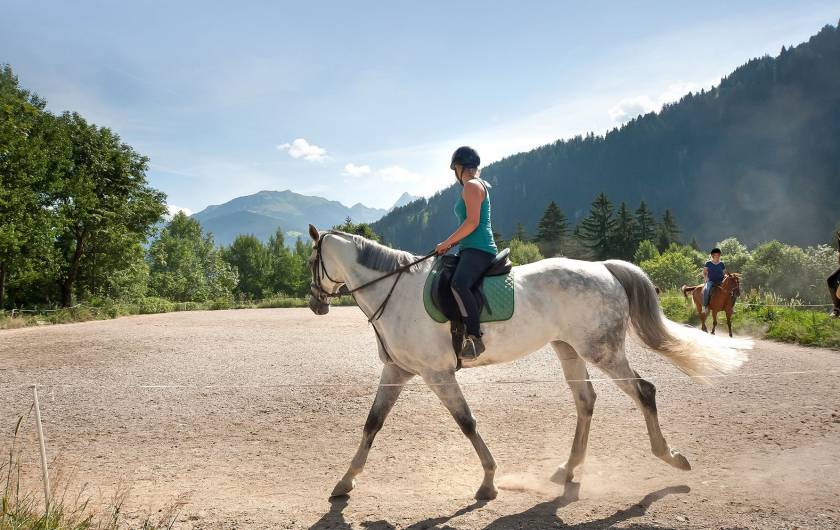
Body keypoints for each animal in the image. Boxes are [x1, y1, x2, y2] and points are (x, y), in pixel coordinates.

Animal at [306, 226, 748, 500]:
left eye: (311, 261)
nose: (315, 304)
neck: (395, 292)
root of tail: (603, 268)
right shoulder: (397, 371)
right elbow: (372, 424)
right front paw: (345, 482)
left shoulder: (437, 374)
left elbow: (467, 423)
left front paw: (488, 482)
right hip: (568, 349)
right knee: (586, 401)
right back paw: (568, 468)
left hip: (601, 350)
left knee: (644, 390)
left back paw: (669, 457)